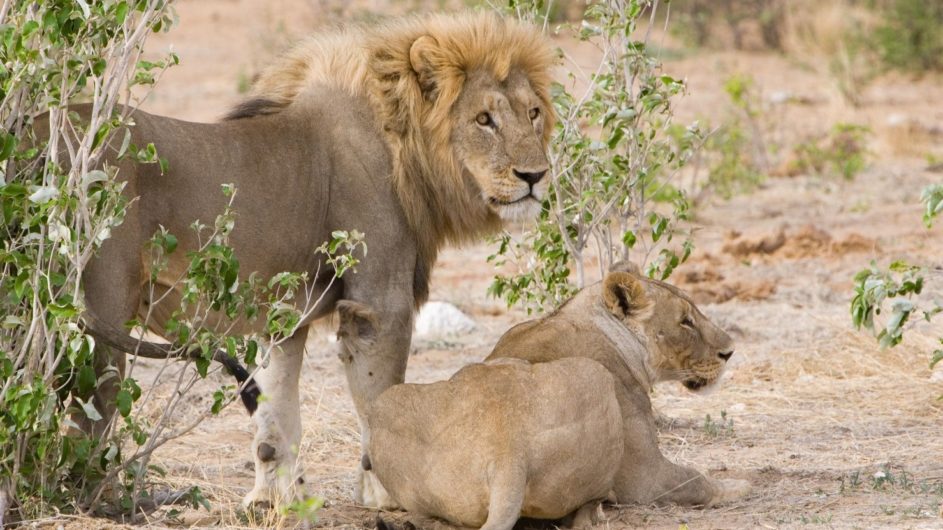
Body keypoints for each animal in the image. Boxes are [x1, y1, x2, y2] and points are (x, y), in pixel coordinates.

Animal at [66, 12, 556, 506]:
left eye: (533, 113)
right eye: (484, 120)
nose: (535, 176)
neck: (403, 142)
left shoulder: (284, 315)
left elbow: (276, 416)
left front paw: (270, 500)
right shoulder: (378, 303)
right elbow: (380, 402)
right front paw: (386, 499)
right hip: (101, 311)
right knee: (86, 407)